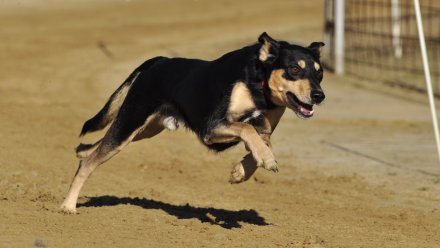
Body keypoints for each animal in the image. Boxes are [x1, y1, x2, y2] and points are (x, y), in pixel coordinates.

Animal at [60, 32, 324, 212]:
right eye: (294, 69)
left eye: (320, 73)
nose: (319, 96)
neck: (259, 86)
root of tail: (159, 61)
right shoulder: (212, 127)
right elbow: (247, 128)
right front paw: (266, 160)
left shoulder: (265, 130)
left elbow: (260, 142)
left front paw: (241, 171)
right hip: (131, 122)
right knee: (89, 164)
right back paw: (68, 206)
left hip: (144, 128)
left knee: (93, 149)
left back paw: (81, 151)